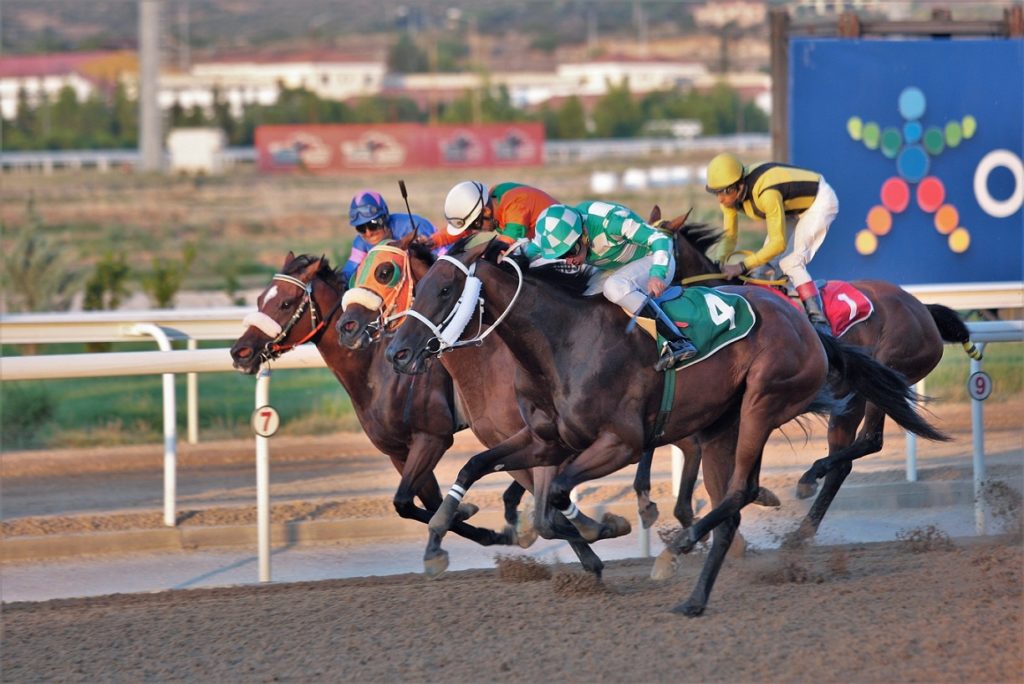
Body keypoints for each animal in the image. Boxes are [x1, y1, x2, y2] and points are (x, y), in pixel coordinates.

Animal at [229, 249, 524, 573]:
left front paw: (482, 526)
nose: (240, 352)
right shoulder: (398, 450)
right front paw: (465, 523)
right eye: (259, 299)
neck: (376, 369)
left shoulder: (432, 437)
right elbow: (415, 503)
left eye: (285, 303)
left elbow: (408, 500)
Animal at [385, 236, 950, 614]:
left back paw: (683, 549)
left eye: (444, 289)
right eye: (420, 286)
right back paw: (695, 598)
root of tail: (808, 327)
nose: (397, 353)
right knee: (735, 501)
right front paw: (441, 538)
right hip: (725, 423)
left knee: (748, 489)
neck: (564, 340)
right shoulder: (547, 438)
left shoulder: (621, 442)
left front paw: (604, 530)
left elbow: (558, 496)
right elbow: (486, 472)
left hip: (763, 402)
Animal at [655, 208, 974, 540]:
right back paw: (803, 528)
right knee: (846, 462)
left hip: (883, 376)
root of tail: (922, 309)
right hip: (852, 398)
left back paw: (810, 478)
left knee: (871, 440)